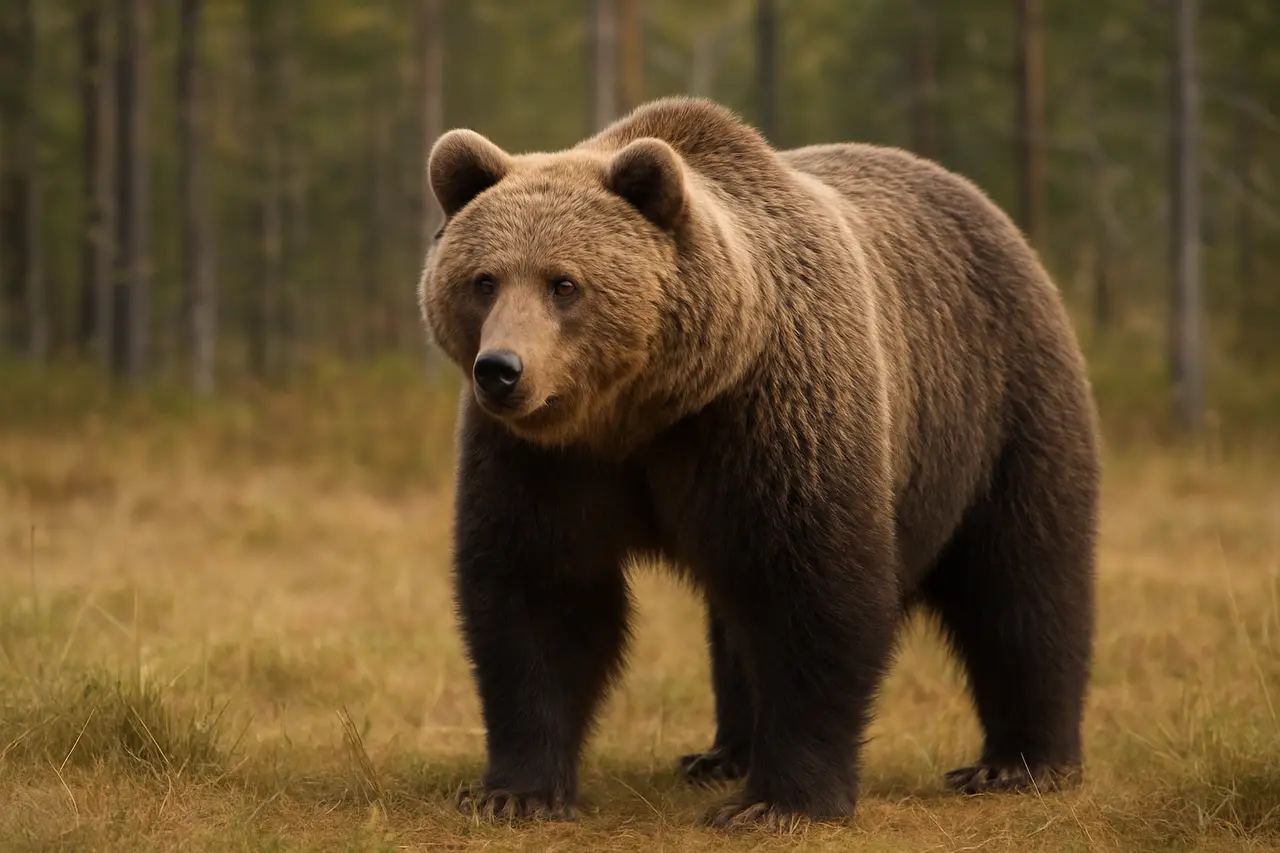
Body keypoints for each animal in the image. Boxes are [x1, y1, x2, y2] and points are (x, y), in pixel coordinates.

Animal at [417, 96, 1100, 829]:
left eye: (563, 283)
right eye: (484, 280)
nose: (501, 369)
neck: (648, 407)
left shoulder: (772, 416)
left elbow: (813, 594)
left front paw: (778, 801)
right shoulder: (545, 460)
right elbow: (537, 593)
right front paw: (515, 791)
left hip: (1002, 405)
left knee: (1021, 578)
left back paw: (1019, 762)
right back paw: (722, 753)